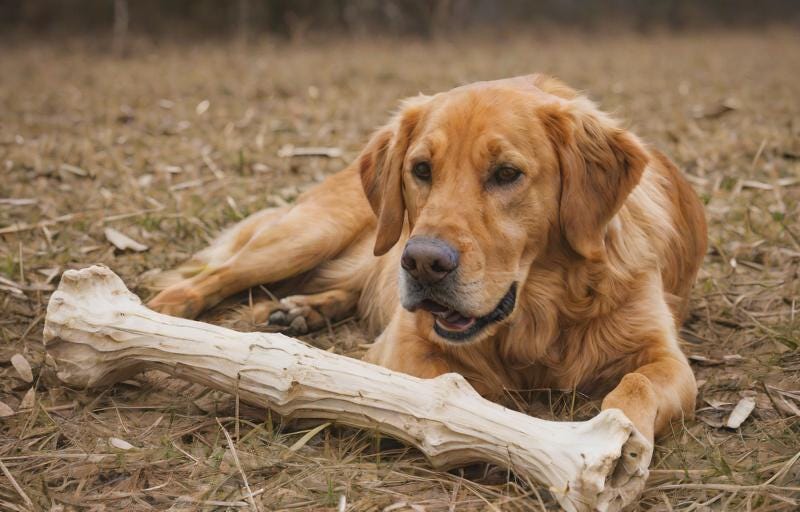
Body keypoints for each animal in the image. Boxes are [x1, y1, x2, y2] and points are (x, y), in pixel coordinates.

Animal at [148, 74, 708, 442]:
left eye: (506, 174)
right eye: (421, 170)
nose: (422, 263)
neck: (538, 318)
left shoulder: (665, 358)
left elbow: (635, 387)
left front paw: (617, 444)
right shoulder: (406, 347)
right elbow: (454, 389)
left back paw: (299, 309)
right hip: (307, 235)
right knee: (213, 275)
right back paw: (158, 314)